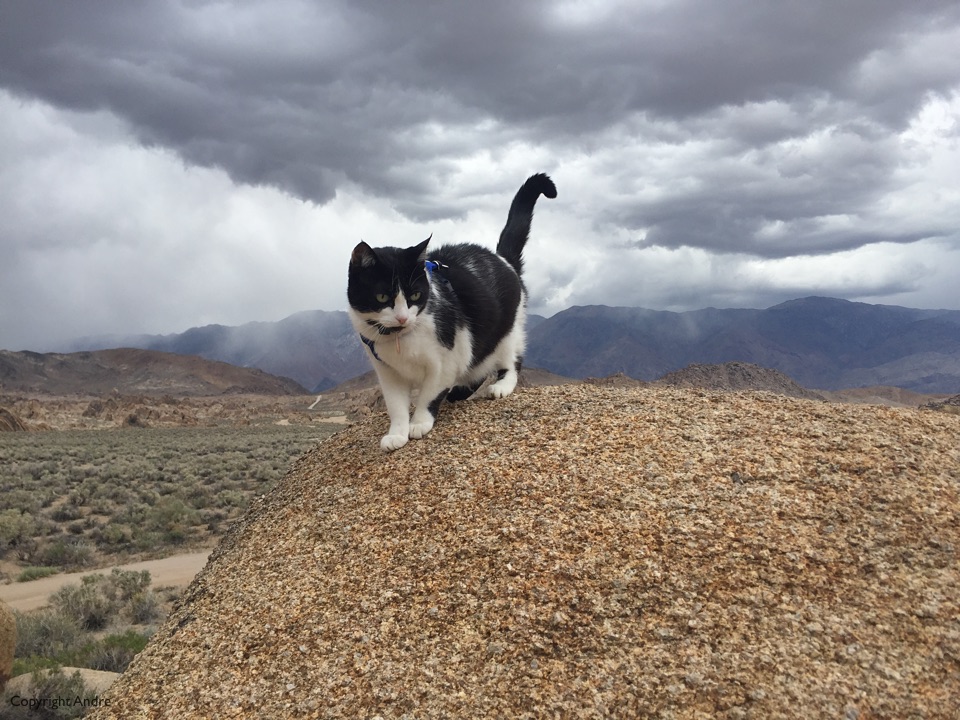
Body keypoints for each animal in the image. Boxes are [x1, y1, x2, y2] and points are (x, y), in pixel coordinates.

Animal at [346, 173, 556, 450]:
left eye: (415, 295)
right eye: (382, 297)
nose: (402, 317)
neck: (402, 340)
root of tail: (502, 259)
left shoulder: (445, 362)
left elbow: (429, 395)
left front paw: (419, 423)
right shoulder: (388, 372)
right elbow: (396, 406)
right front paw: (397, 433)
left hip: (505, 330)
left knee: (511, 359)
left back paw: (501, 386)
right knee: (478, 365)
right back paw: (460, 392)